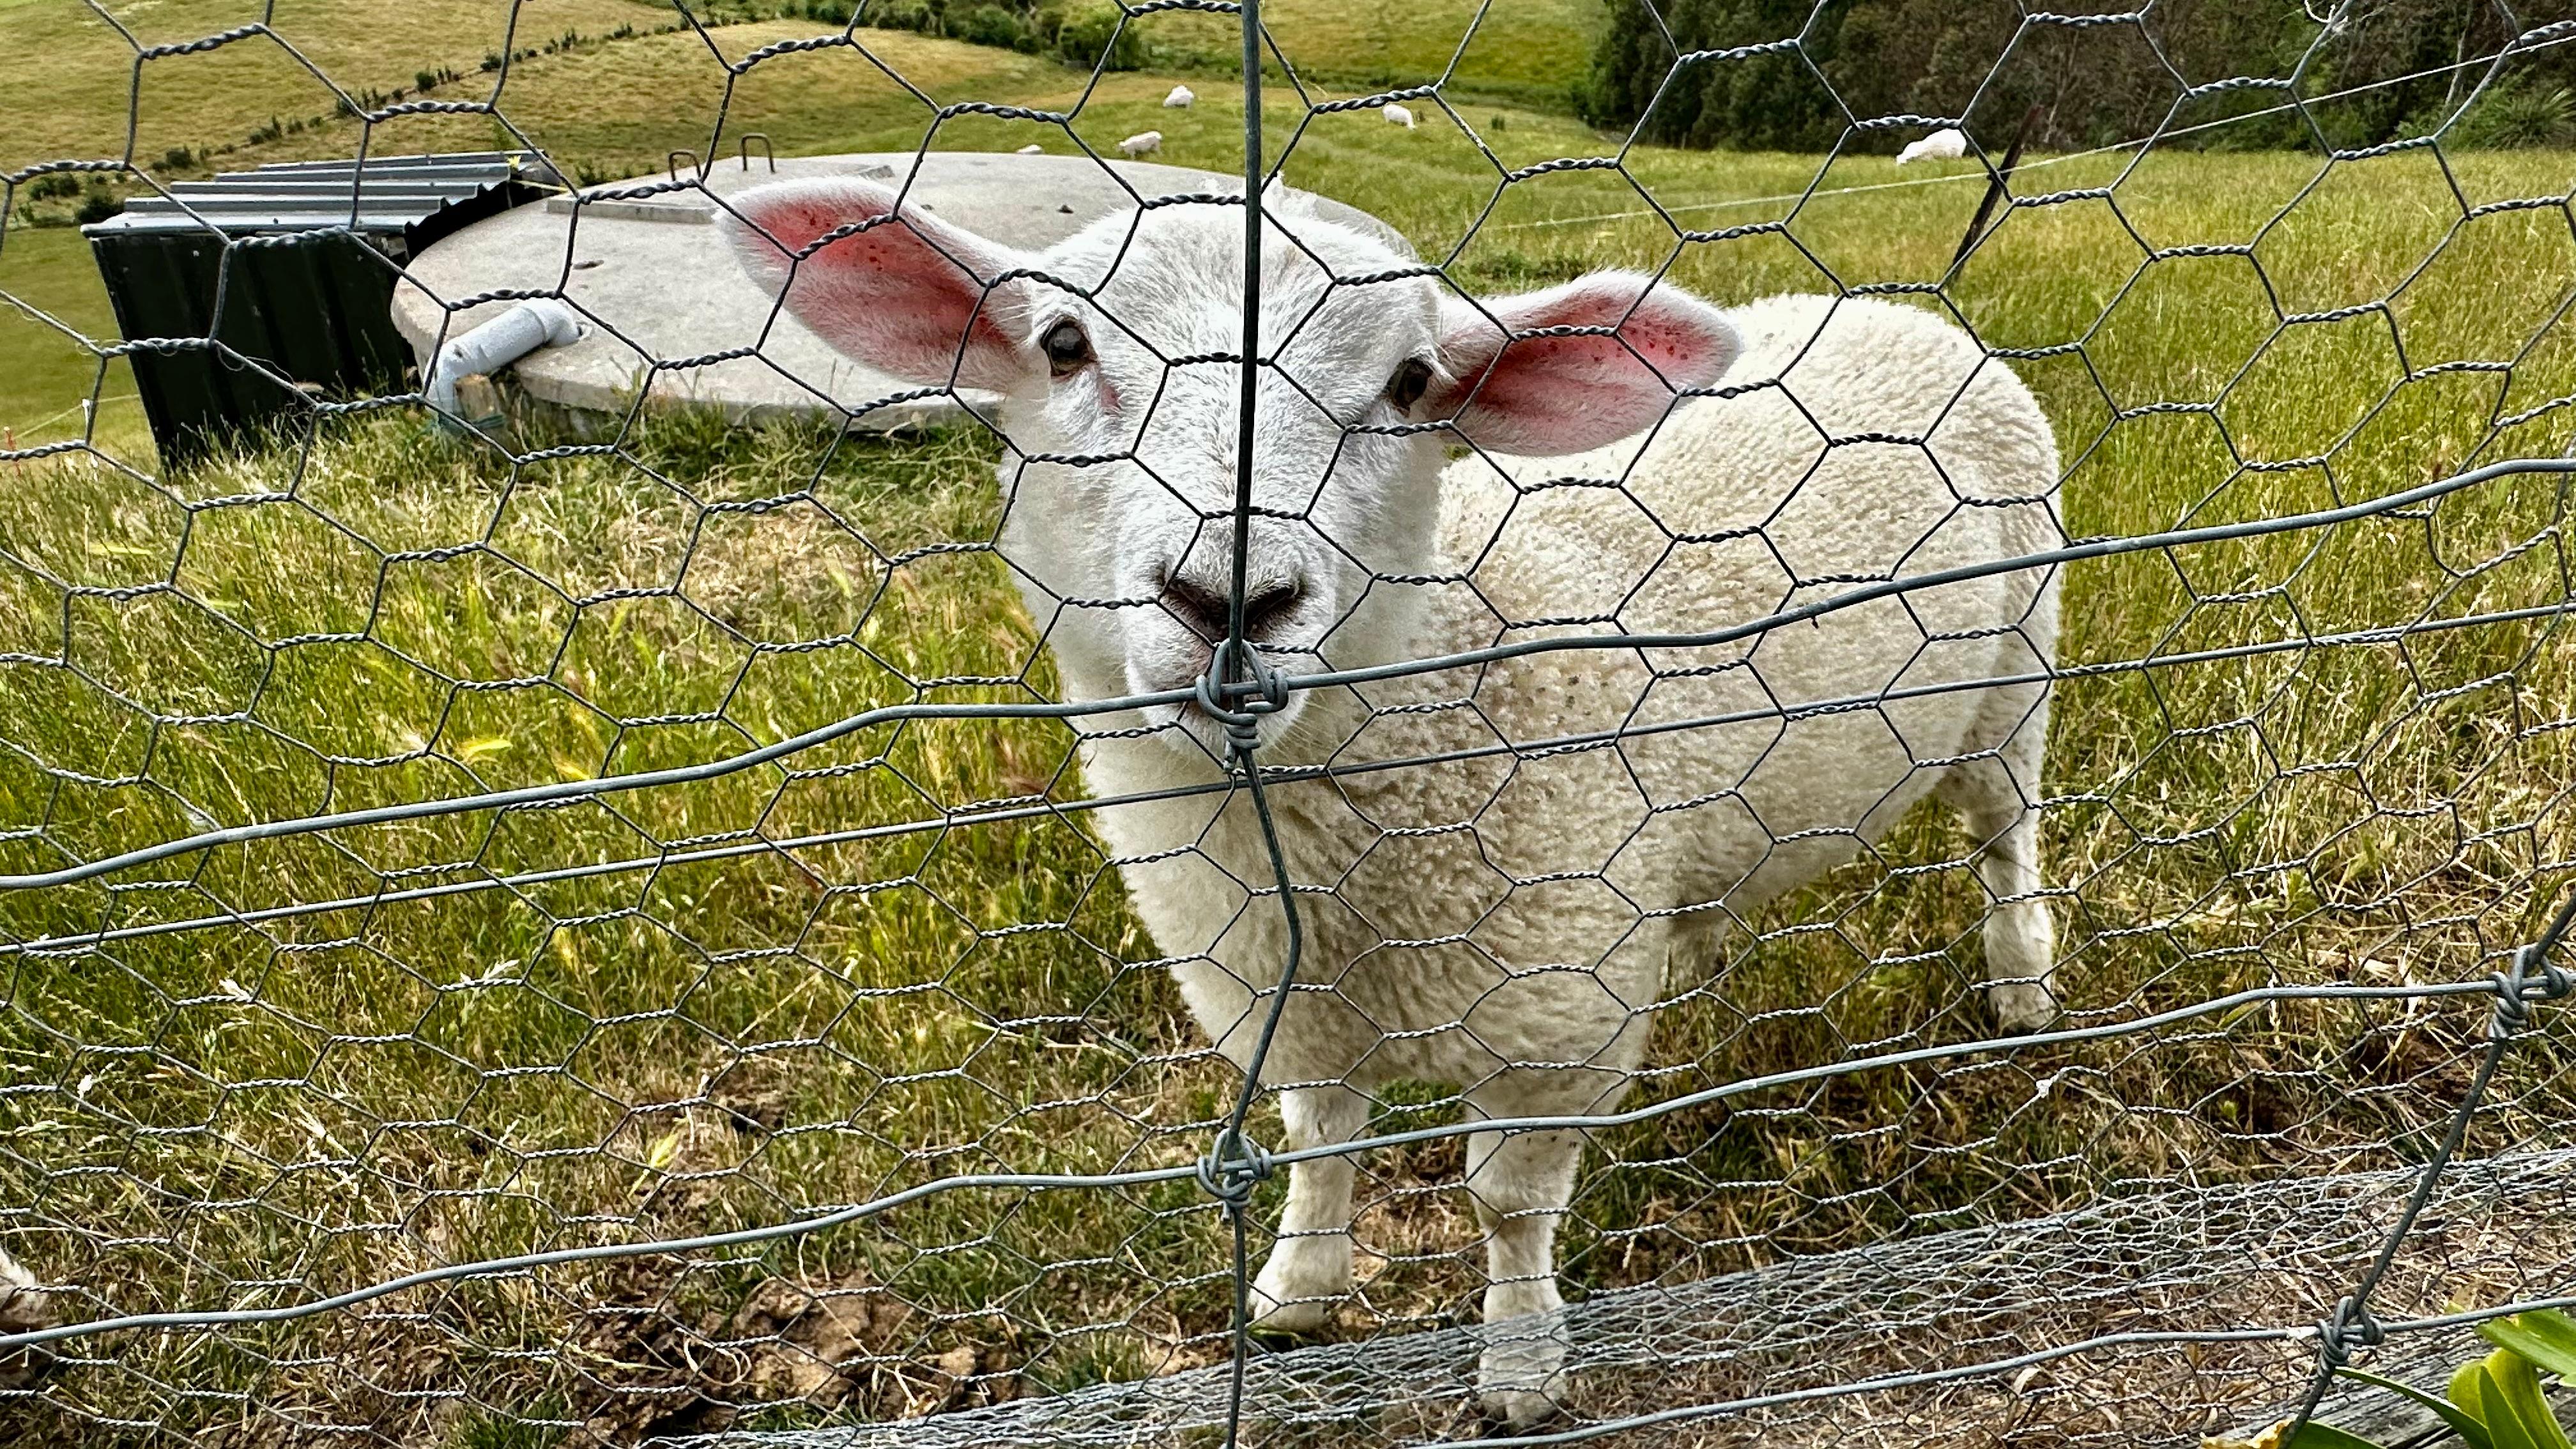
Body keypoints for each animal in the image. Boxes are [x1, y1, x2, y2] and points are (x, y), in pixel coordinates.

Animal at [726, 175, 2050, 1413]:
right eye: (1062, 344)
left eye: (1411, 381)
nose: (1231, 599)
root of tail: (1900, 307)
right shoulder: (1288, 999)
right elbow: (1319, 1144)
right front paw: (1295, 1294)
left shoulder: (1551, 1024)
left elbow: (1508, 1207)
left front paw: (1519, 1364)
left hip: (2017, 681)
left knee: (2005, 839)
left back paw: (2022, 985)